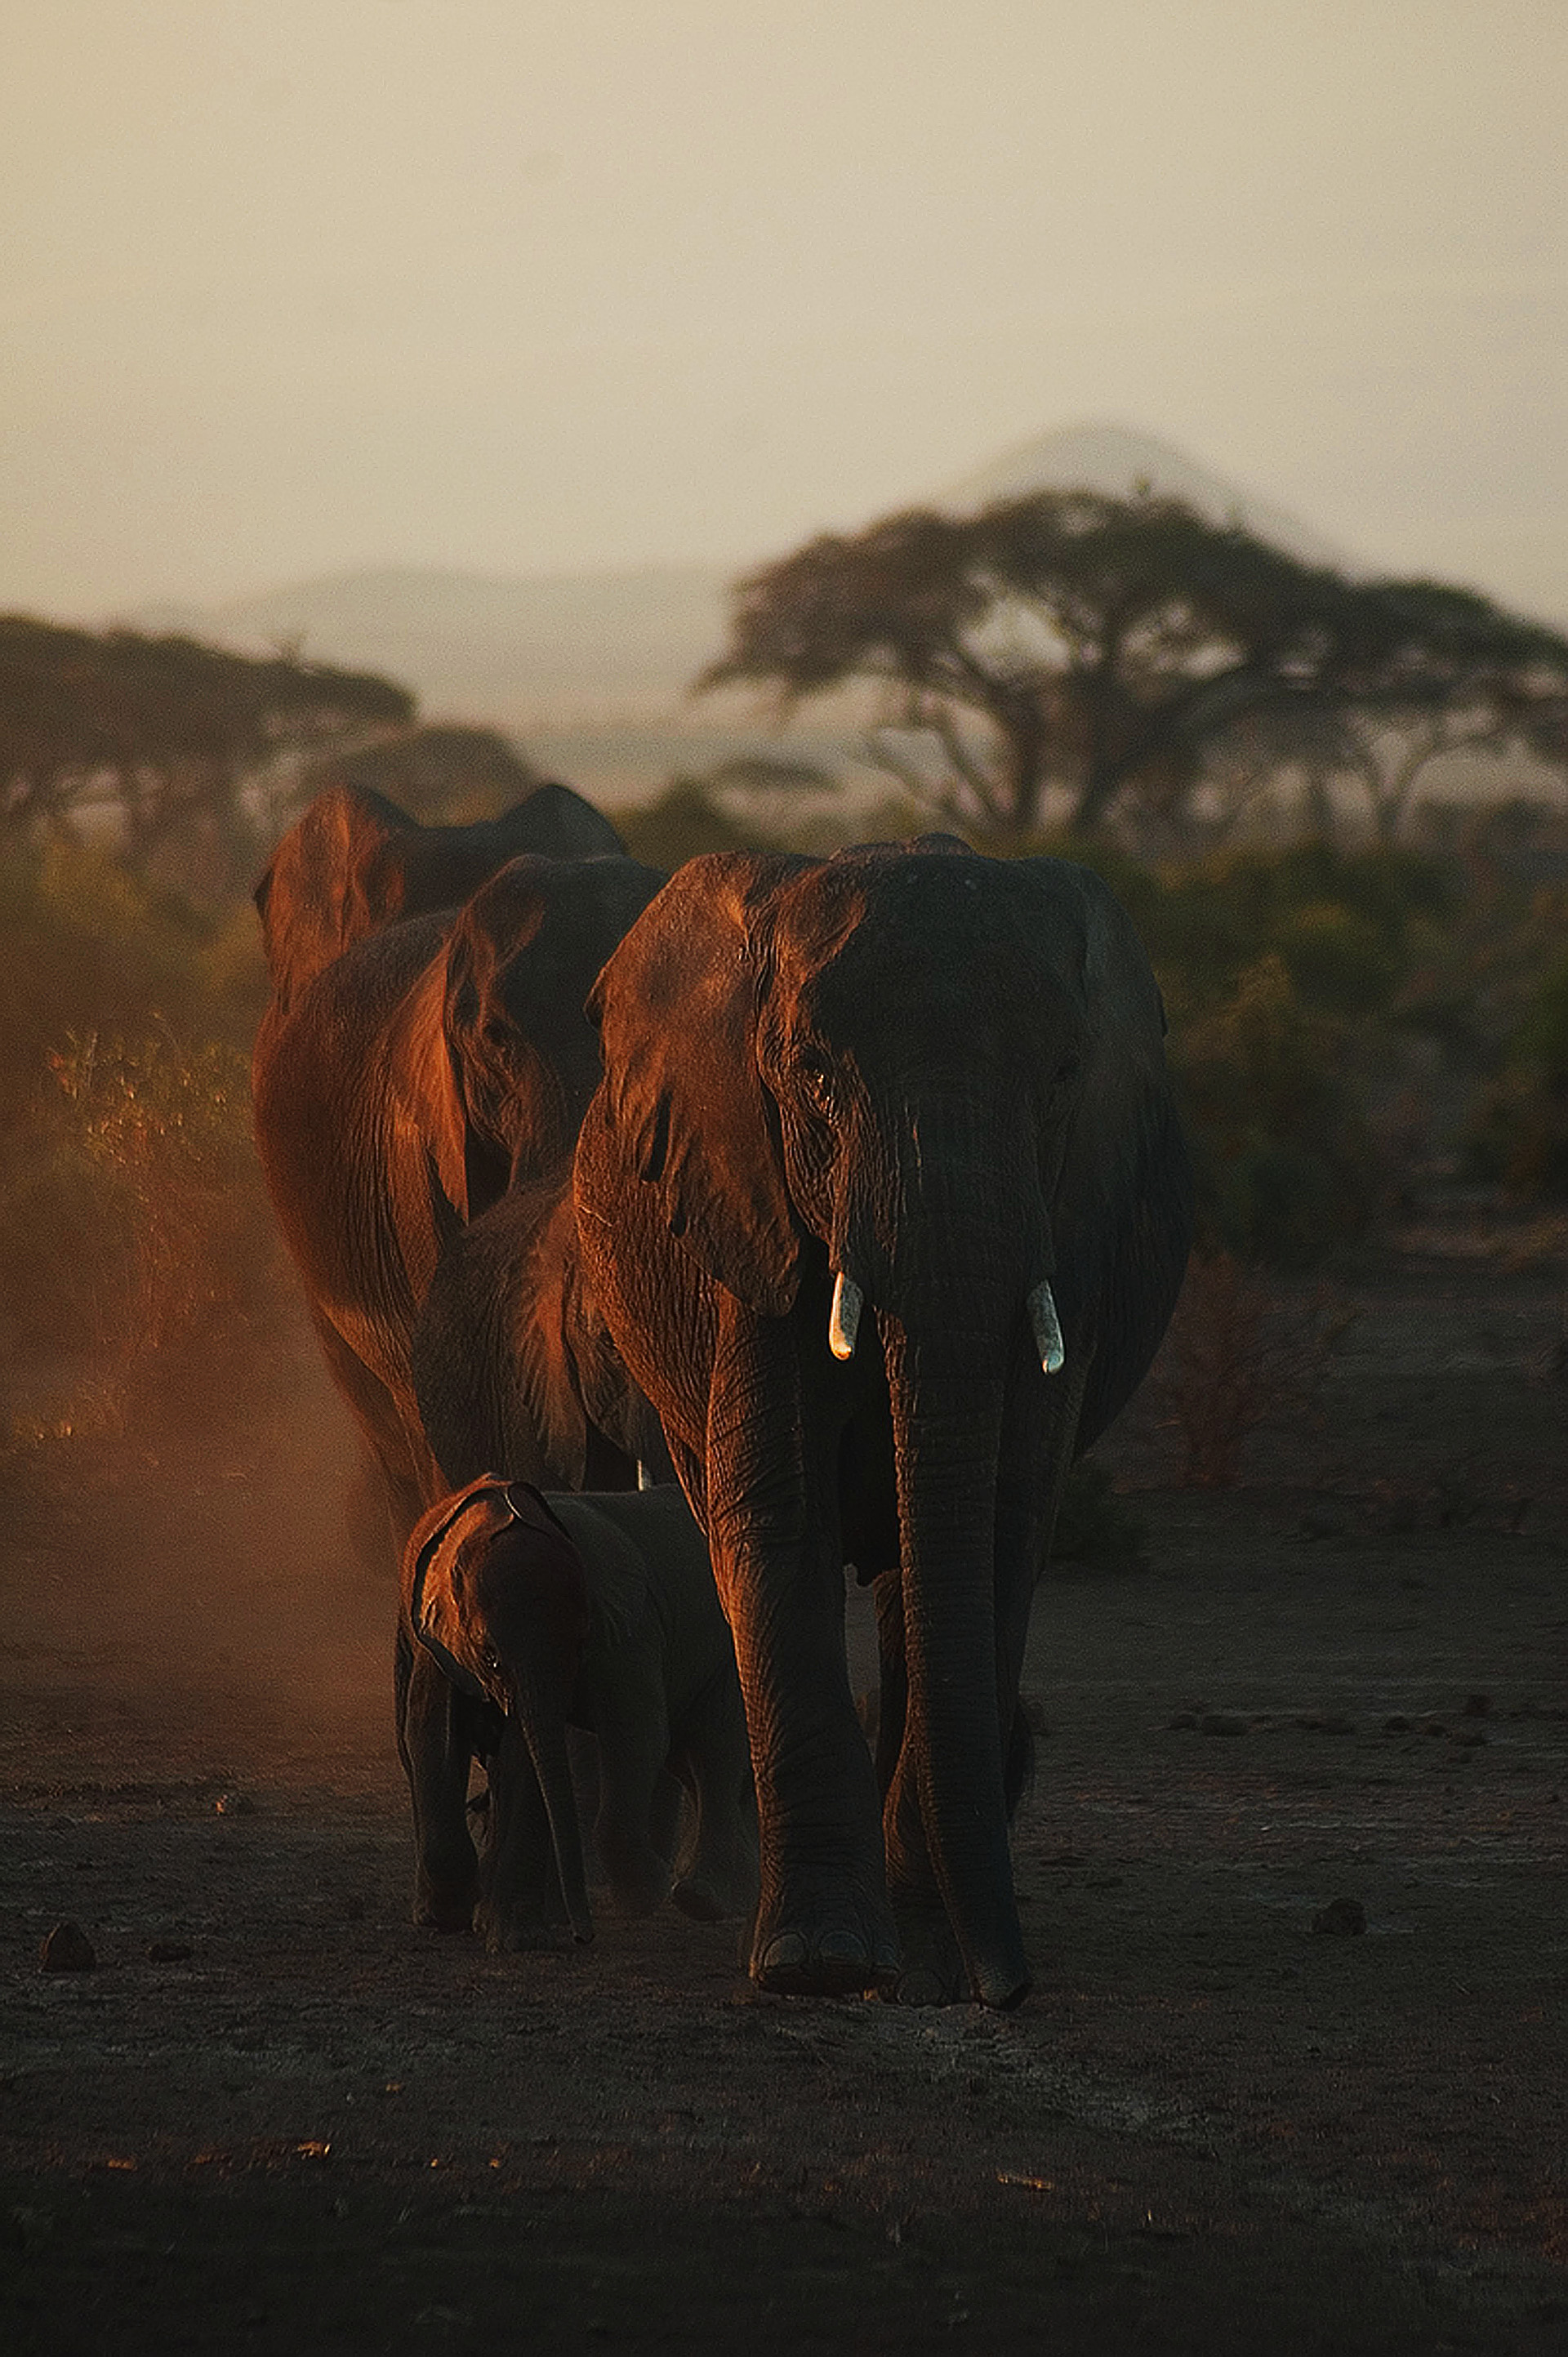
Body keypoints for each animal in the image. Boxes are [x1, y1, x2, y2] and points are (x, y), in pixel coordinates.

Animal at [404, 1476, 757, 1946]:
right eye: (490, 1657)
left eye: (578, 1647)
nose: (582, 1936)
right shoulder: (441, 1640)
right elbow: (435, 1735)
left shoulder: (630, 1629)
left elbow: (637, 1736)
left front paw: (648, 1893)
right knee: (695, 1760)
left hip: (730, 1648)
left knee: (713, 1752)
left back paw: (702, 1899)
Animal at [572, 839, 1193, 2007]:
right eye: (814, 1077)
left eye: (1060, 1078)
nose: (1009, 1989)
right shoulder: (749, 1204)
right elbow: (777, 1507)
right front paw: (819, 1964)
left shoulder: (1069, 1242)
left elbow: (998, 1521)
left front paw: (930, 1967)